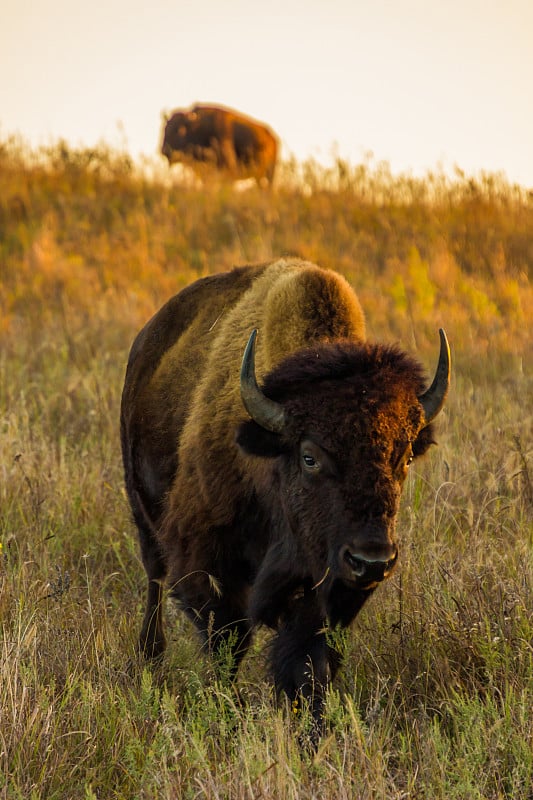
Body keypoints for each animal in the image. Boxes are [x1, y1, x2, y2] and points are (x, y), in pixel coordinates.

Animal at [120, 260, 448, 732]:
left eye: (403, 457)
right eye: (309, 456)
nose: (372, 561)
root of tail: (146, 340)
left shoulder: (321, 588)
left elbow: (308, 662)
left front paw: (313, 729)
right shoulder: (207, 561)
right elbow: (228, 640)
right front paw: (227, 712)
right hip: (143, 512)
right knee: (154, 580)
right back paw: (150, 657)